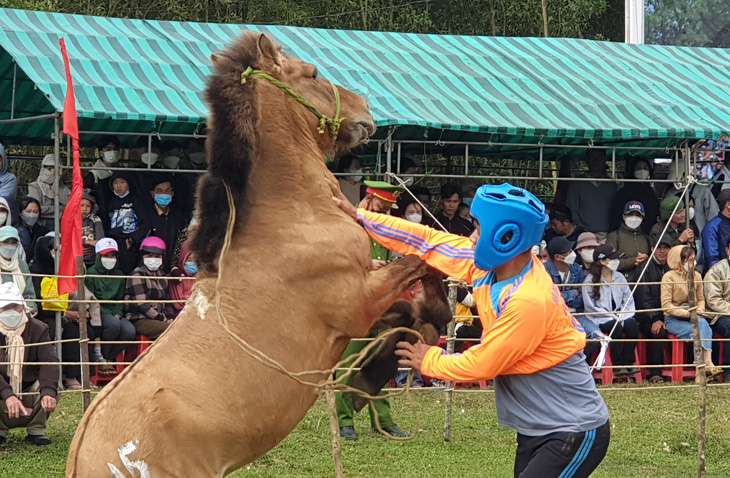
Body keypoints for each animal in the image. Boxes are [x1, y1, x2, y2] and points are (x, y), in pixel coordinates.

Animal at [65, 31, 430, 476]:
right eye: (313, 73)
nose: (364, 107)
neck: (290, 218)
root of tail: (84, 455)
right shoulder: (358, 303)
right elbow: (416, 268)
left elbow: (404, 308)